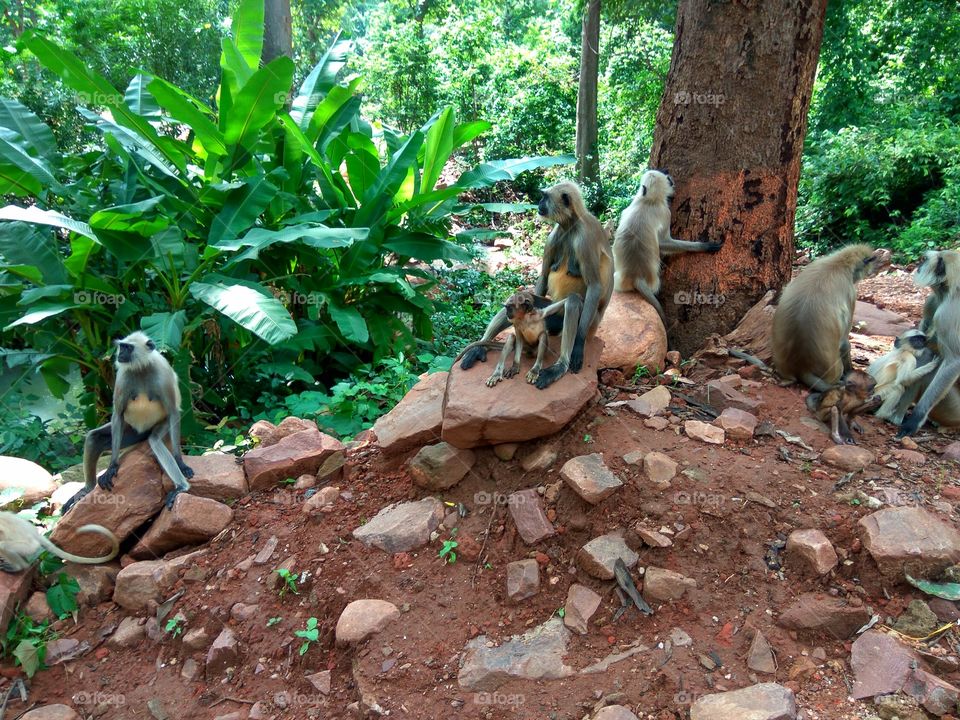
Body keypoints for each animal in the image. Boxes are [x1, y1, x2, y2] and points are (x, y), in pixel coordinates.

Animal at [63, 331, 194, 513]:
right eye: (122, 346)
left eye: (128, 348)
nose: (120, 354)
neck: (141, 367)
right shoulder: (123, 377)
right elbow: (117, 414)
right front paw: (112, 466)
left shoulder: (163, 373)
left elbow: (174, 412)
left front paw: (180, 461)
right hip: (130, 429)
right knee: (93, 437)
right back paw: (86, 490)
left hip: (161, 425)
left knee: (154, 440)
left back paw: (181, 487)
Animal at [459, 182, 614, 389]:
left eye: (544, 197)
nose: (538, 203)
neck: (571, 224)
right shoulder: (556, 232)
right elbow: (544, 274)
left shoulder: (584, 238)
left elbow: (595, 286)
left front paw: (578, 345)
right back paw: (480, 347)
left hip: (580, 322)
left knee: (573, 302)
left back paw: (559, 367)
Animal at [612, 169, 723, 324]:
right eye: (668, 179)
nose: (667, 171)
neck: (648, 201)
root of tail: (635, 275)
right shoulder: (665, 213)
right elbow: (663, 242)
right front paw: (704, 246)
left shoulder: (632, 203)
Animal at [898, 250, 960, 436]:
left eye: (924, 260)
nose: (917, 265)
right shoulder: (931, 301)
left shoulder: (947, 314)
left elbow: (954, 360)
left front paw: (915, 419)